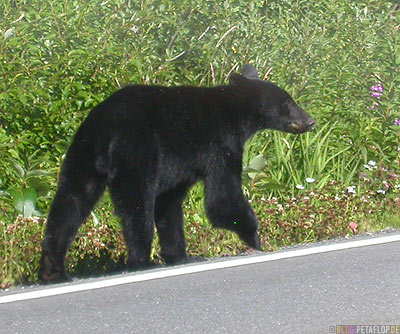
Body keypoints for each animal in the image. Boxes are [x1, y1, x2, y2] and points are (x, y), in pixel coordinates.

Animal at [39, 63, 316, 282]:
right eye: (288, 103)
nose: (310, 121)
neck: (236, 113)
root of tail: (105, 128)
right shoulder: (221, 144)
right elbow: (222, 198)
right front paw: (256, 239)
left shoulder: (181, 164)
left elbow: (169, 202)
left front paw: (182, 256)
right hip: (136, 152)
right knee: (136, 205)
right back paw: (141, 260)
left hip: (83, 156)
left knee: (70, 202)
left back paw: (53, 270)